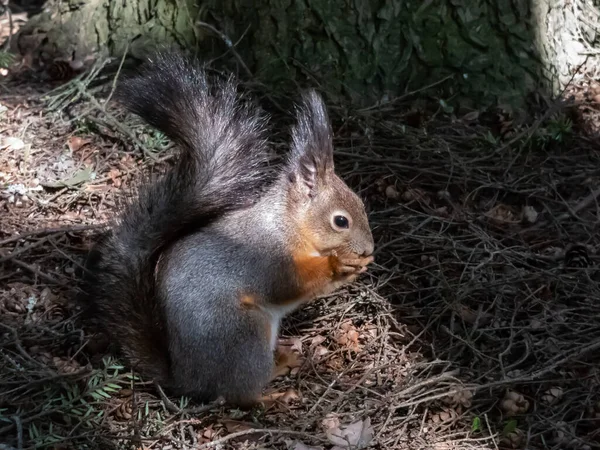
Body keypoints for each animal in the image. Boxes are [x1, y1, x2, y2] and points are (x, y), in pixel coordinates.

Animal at [83, 52, 376, 408]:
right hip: (244, 334)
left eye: (361, 203)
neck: (289, 224)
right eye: (340, 221)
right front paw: (338, 264)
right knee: (238, 394)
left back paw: (283, 361)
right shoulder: (266, 255)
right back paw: (272, 395)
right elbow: (288, 284)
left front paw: (358, 266)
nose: (368, 249)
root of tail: (186, 380)